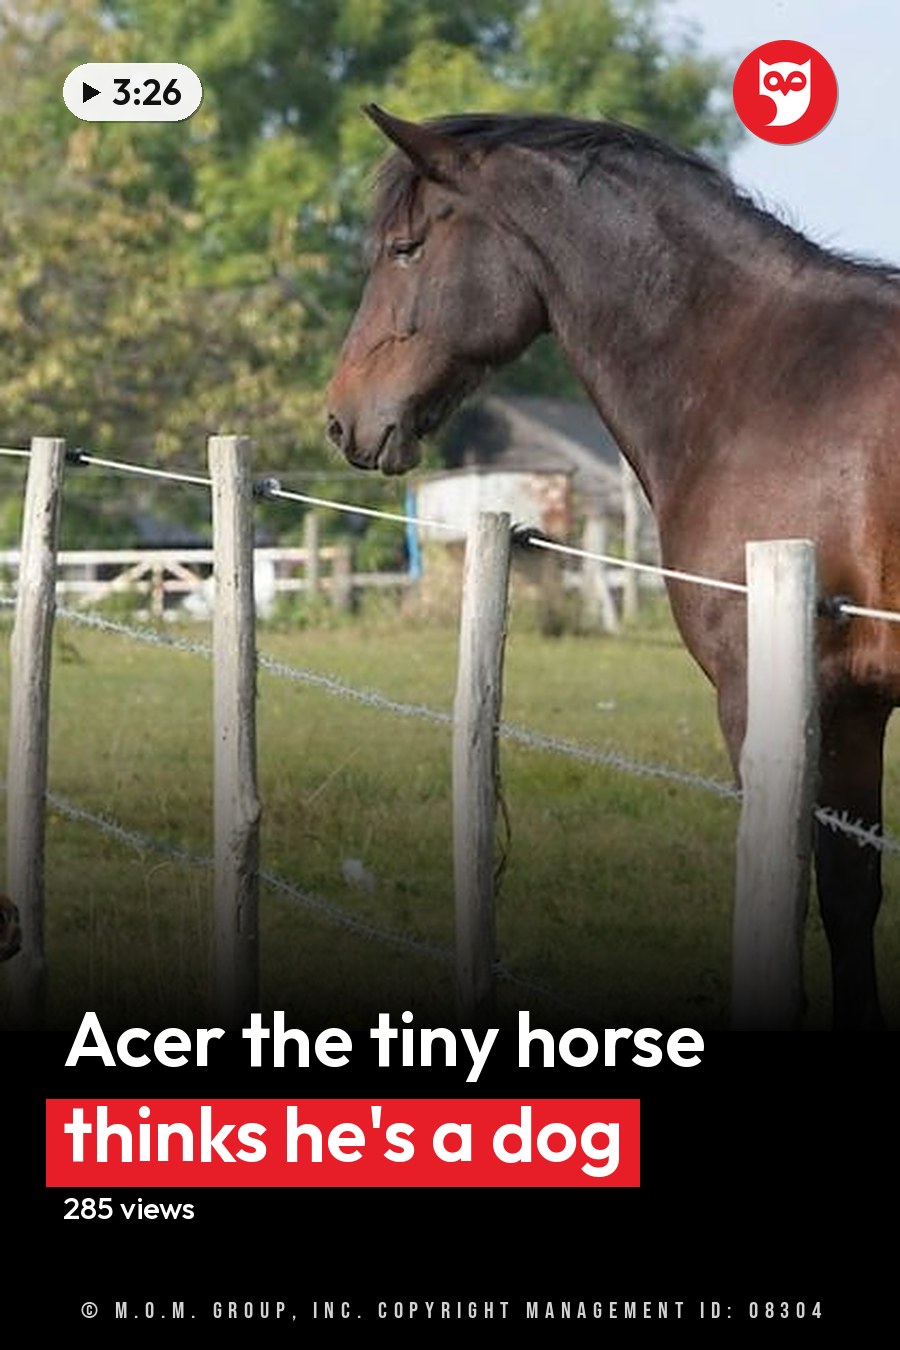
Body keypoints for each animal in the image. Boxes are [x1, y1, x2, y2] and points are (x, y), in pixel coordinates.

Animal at [326, 104, 900, 1031]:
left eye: (405, 248)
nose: (343, 417)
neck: (773, 382)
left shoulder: (767, 696)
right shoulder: (854, 705)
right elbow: (851, 897)